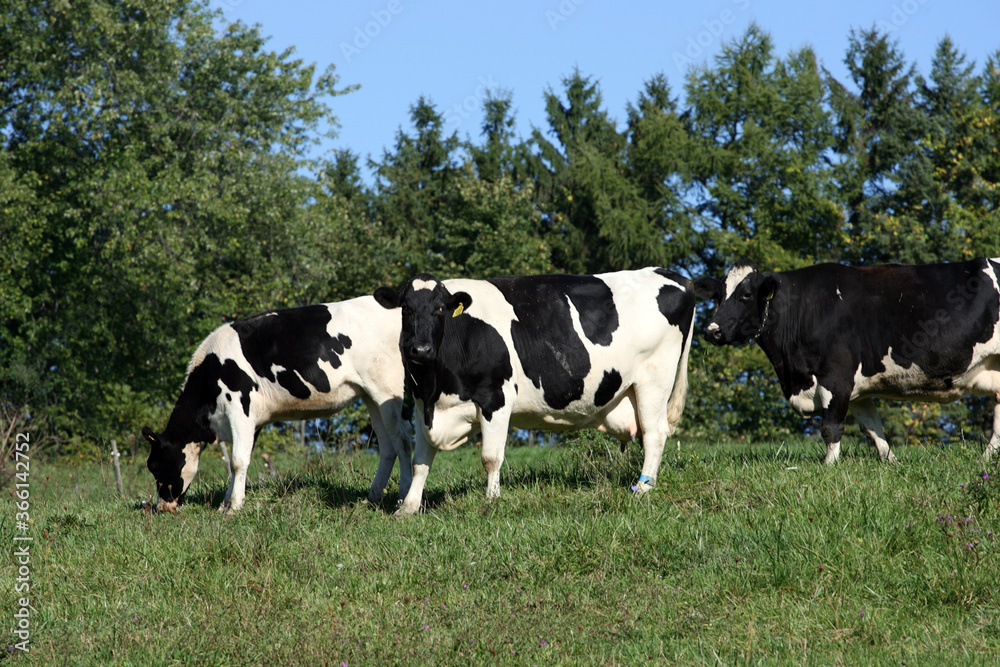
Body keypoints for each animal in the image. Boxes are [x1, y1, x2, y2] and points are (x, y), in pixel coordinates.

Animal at [141, 298, 410, 516]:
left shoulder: (239, 407)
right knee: (387, 446)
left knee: (403, 442)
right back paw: (372, 497)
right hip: (370, 396)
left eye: (155, 466)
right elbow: (238, 463)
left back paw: (403, 500)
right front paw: (225, 504)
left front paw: (234, 508)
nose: (161, 507)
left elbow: (237, 461)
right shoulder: (254, 420)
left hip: (389, 391)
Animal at [374, 268, 696, 516]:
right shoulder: (422, 404)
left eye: (440, 308)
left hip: (654, 378)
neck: (436, 386)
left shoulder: (496, 397)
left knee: (655, 433)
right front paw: (408, 507)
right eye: (406, 309)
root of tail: (671, 274)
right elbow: (420, 461)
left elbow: (490, 456)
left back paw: (642, 488)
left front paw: (491, 501)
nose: (421, 349)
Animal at [696, 260, 1000, 464]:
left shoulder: (836, 377)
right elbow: (872, 429)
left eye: (745, 294)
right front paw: (892, 463)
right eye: (718, 295)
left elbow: (831, 429)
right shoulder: (855, 389)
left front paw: (828, 468)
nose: (711, 330)